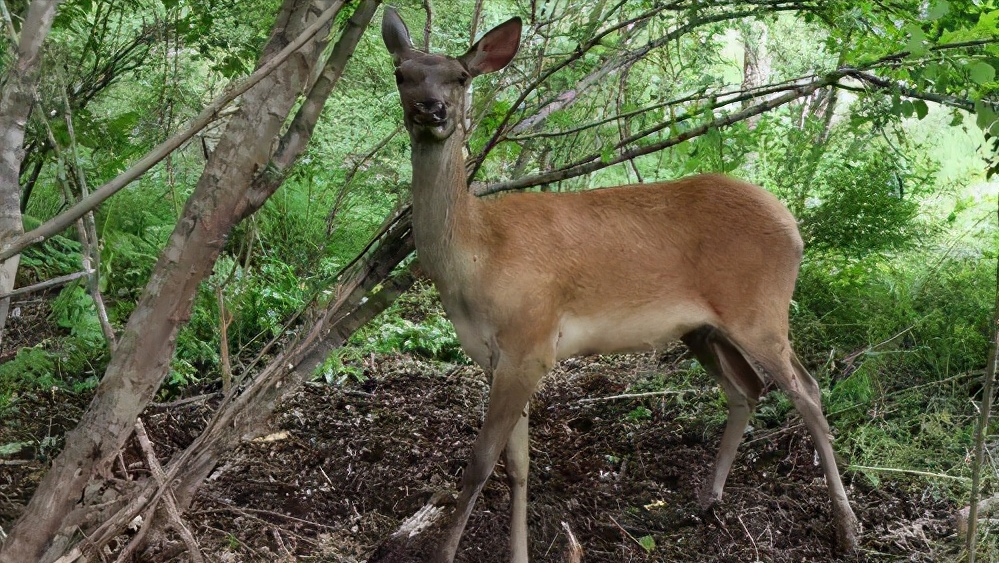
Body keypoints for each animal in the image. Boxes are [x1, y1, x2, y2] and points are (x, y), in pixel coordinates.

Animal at [380, 6, 860, 560]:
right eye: (402, 74)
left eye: (460, 76)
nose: (431, 110)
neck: (475, 256)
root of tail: (794, 226)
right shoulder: (497, 356)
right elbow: (517, 465)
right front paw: (518, 552)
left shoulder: (530, 341)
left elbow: (480, 463)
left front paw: (445, 551)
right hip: (704, 329)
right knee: (748, 388)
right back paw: (708, 498)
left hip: (759, 309)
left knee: (807, 391)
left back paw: (847, 527)